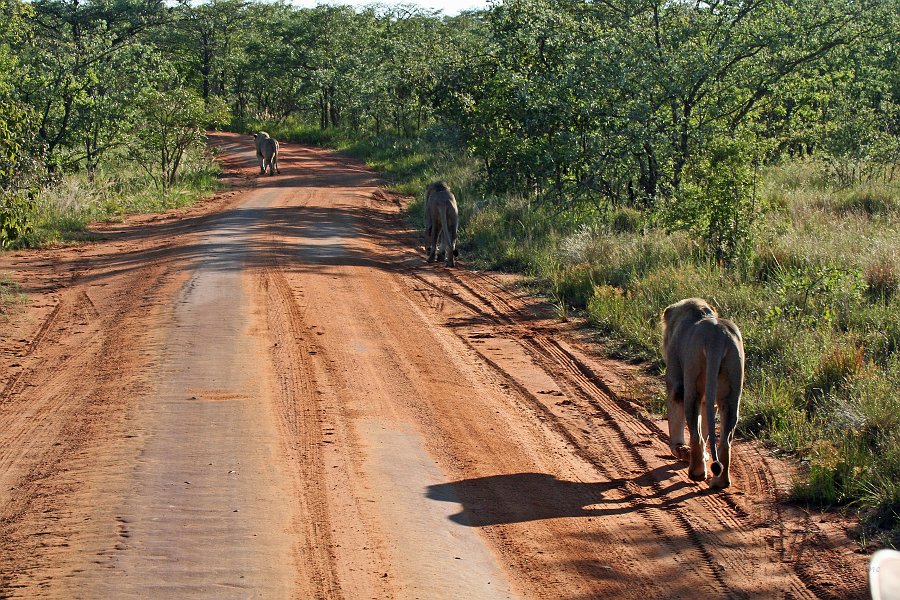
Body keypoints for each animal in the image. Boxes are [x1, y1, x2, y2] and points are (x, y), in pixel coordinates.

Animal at [660, 298, 744, 490]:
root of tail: (717, 336)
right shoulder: (709, 400)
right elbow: (706, 427)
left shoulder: (675, 382)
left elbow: (677, 422)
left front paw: (679, 449)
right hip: (732, 388)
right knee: (725, 440)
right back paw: (720, 481)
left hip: (692, 383)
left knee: (696, 434)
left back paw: (696, 472)